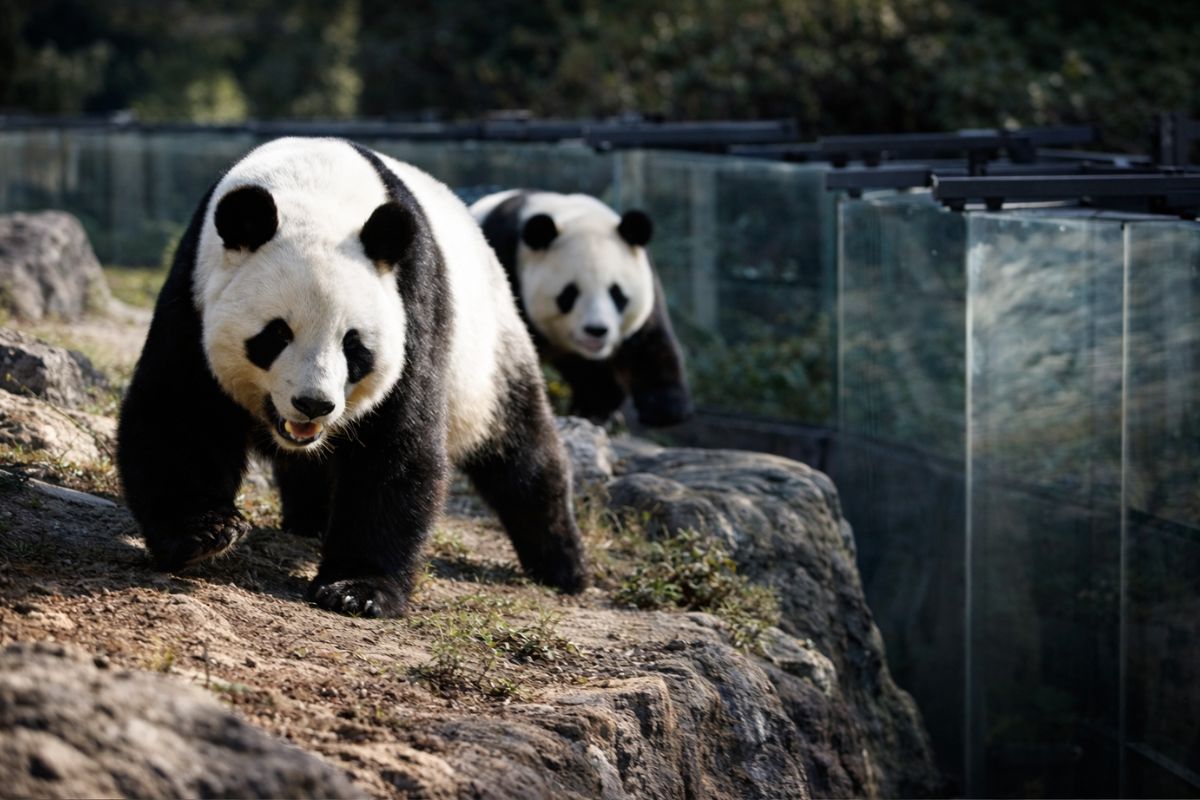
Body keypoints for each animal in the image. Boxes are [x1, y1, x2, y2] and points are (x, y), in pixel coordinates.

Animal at [117, 138, 587, 618]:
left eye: (353, 346)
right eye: (276, 335)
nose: (314, 404)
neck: (315, 189)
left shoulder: (410, 304)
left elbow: (395, 444)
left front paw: (357, 589)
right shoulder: (193, 292)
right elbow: (180, 413)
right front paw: (205, 532)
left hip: (490, 354)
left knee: (521, 453)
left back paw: (563, 568)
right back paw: (307, 521)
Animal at [470, 190, 692, 427]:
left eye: (616, 293)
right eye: (569, 294)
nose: (596, 330)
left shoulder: (645, 277)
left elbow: (647, 340)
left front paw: (665, 408)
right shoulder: (506, 265)